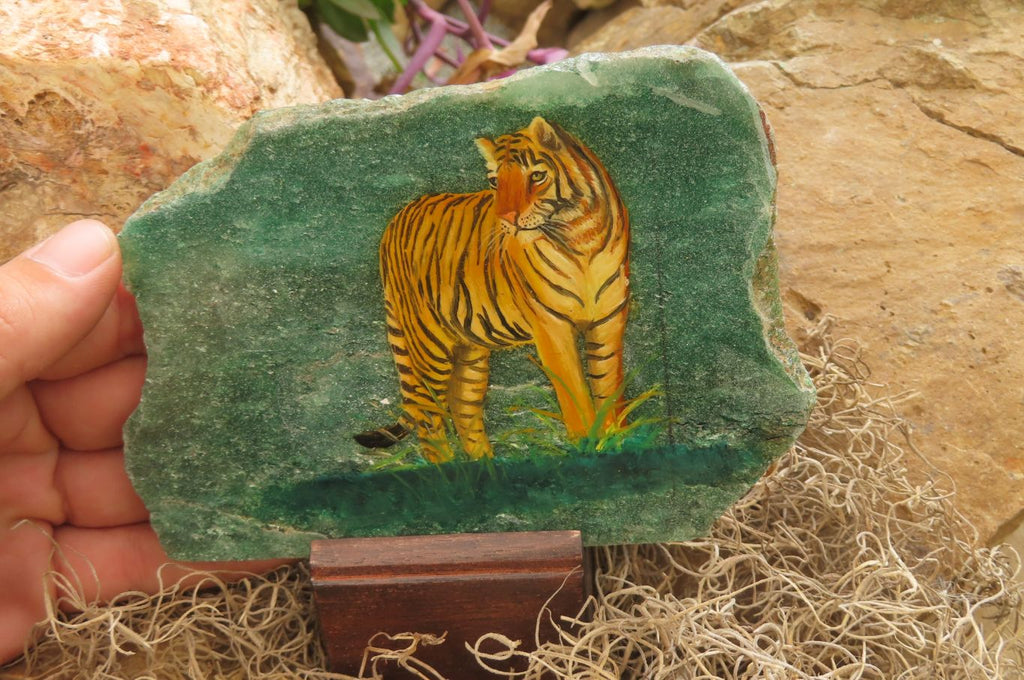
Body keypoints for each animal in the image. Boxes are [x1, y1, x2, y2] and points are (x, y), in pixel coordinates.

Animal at [354, 116, 631, 463]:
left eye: (536, 176)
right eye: (495, 182)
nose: (506, 218)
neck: (580, 235)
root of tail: (394, 221)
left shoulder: (609, 319)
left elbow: (608, 386)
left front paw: (617, 440)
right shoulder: (552, 328)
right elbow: (573, 392)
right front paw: (586, 445)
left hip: (469, 346)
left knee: (462, 405)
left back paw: (487, 466)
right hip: (428, 342)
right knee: (426, 415)